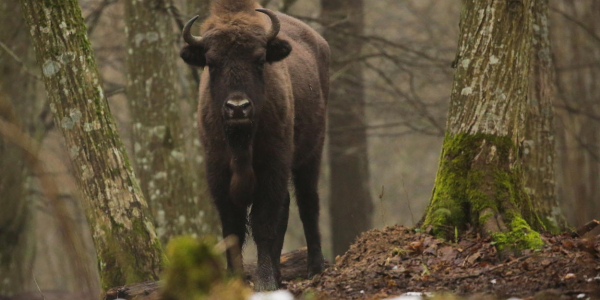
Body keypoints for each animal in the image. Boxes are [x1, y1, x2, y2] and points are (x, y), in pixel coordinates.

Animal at [179, 0, 328, 290]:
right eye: (211, 62)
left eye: (259, 60)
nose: (238, 108)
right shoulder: (217, 173)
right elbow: (232, 229)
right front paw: (234, 278)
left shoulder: (273, 167)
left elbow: (263, 224)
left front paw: (265, 282)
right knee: (287, 208)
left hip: (311, 155)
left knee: (308, 204)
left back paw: (314, 268)